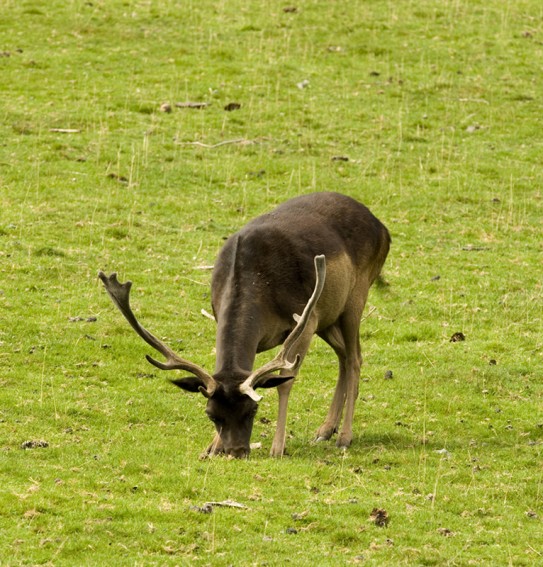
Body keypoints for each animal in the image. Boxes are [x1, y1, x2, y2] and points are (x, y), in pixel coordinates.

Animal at [99, 193, 392, 460]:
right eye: (211, 414)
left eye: (252, 410)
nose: (237, 451)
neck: (257, 282)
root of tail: (383, 228)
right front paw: (211, 448)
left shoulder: (305, 321)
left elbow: (285, 382)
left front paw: (277, 448)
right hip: (329, 317)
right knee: (343, 354)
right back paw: (325, 430)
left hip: (355, 296)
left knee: (354, 357)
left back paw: (344, 437)